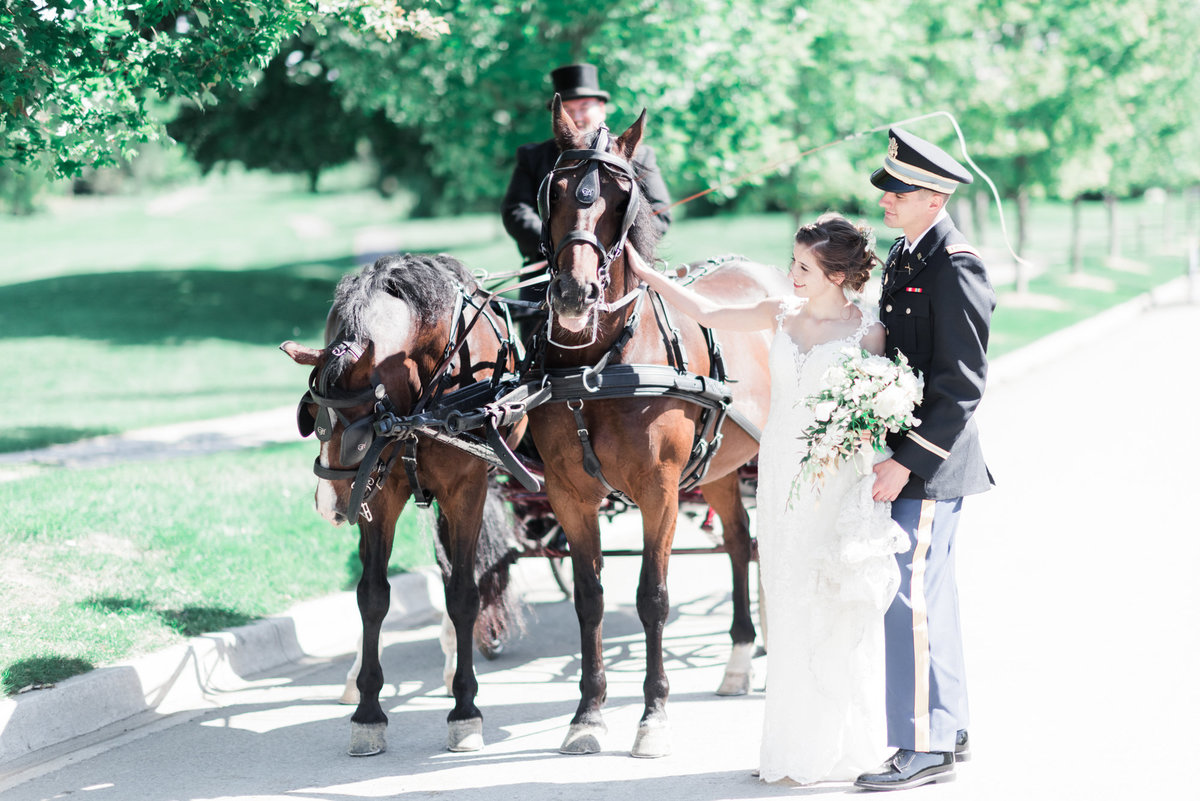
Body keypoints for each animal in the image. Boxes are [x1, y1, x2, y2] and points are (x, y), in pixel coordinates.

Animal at [283, 255, 528, 757]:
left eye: (357, 438)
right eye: (309, 419)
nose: (327, 506)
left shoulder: (466, 490)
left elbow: (464, 594)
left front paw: (465, 711)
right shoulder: (380, 494)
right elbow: (372, 597)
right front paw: (368, 713)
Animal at [528, 100, 787, 757]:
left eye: (623, 195)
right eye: (555, 189)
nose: (574, 293)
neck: (598, 366)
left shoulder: (660, 491)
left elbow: (653, 598)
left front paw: (654, 714)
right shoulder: (568, 495)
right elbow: (591, 600)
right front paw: (588, 714)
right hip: (719, 465)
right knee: (738, 541)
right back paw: (739, 659)